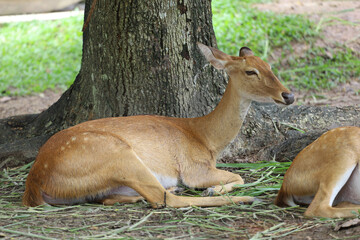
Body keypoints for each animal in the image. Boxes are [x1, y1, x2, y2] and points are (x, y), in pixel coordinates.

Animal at [22, 42, 294, 208]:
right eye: (250, 71)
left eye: (269, 66)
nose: (288, 95)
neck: (205, 138)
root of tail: (35, 182)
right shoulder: (194, 168)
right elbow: (239, 175)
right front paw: (213, 190)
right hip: (119, 155)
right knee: (162, 199)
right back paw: (242, 198)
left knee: (112, 198)